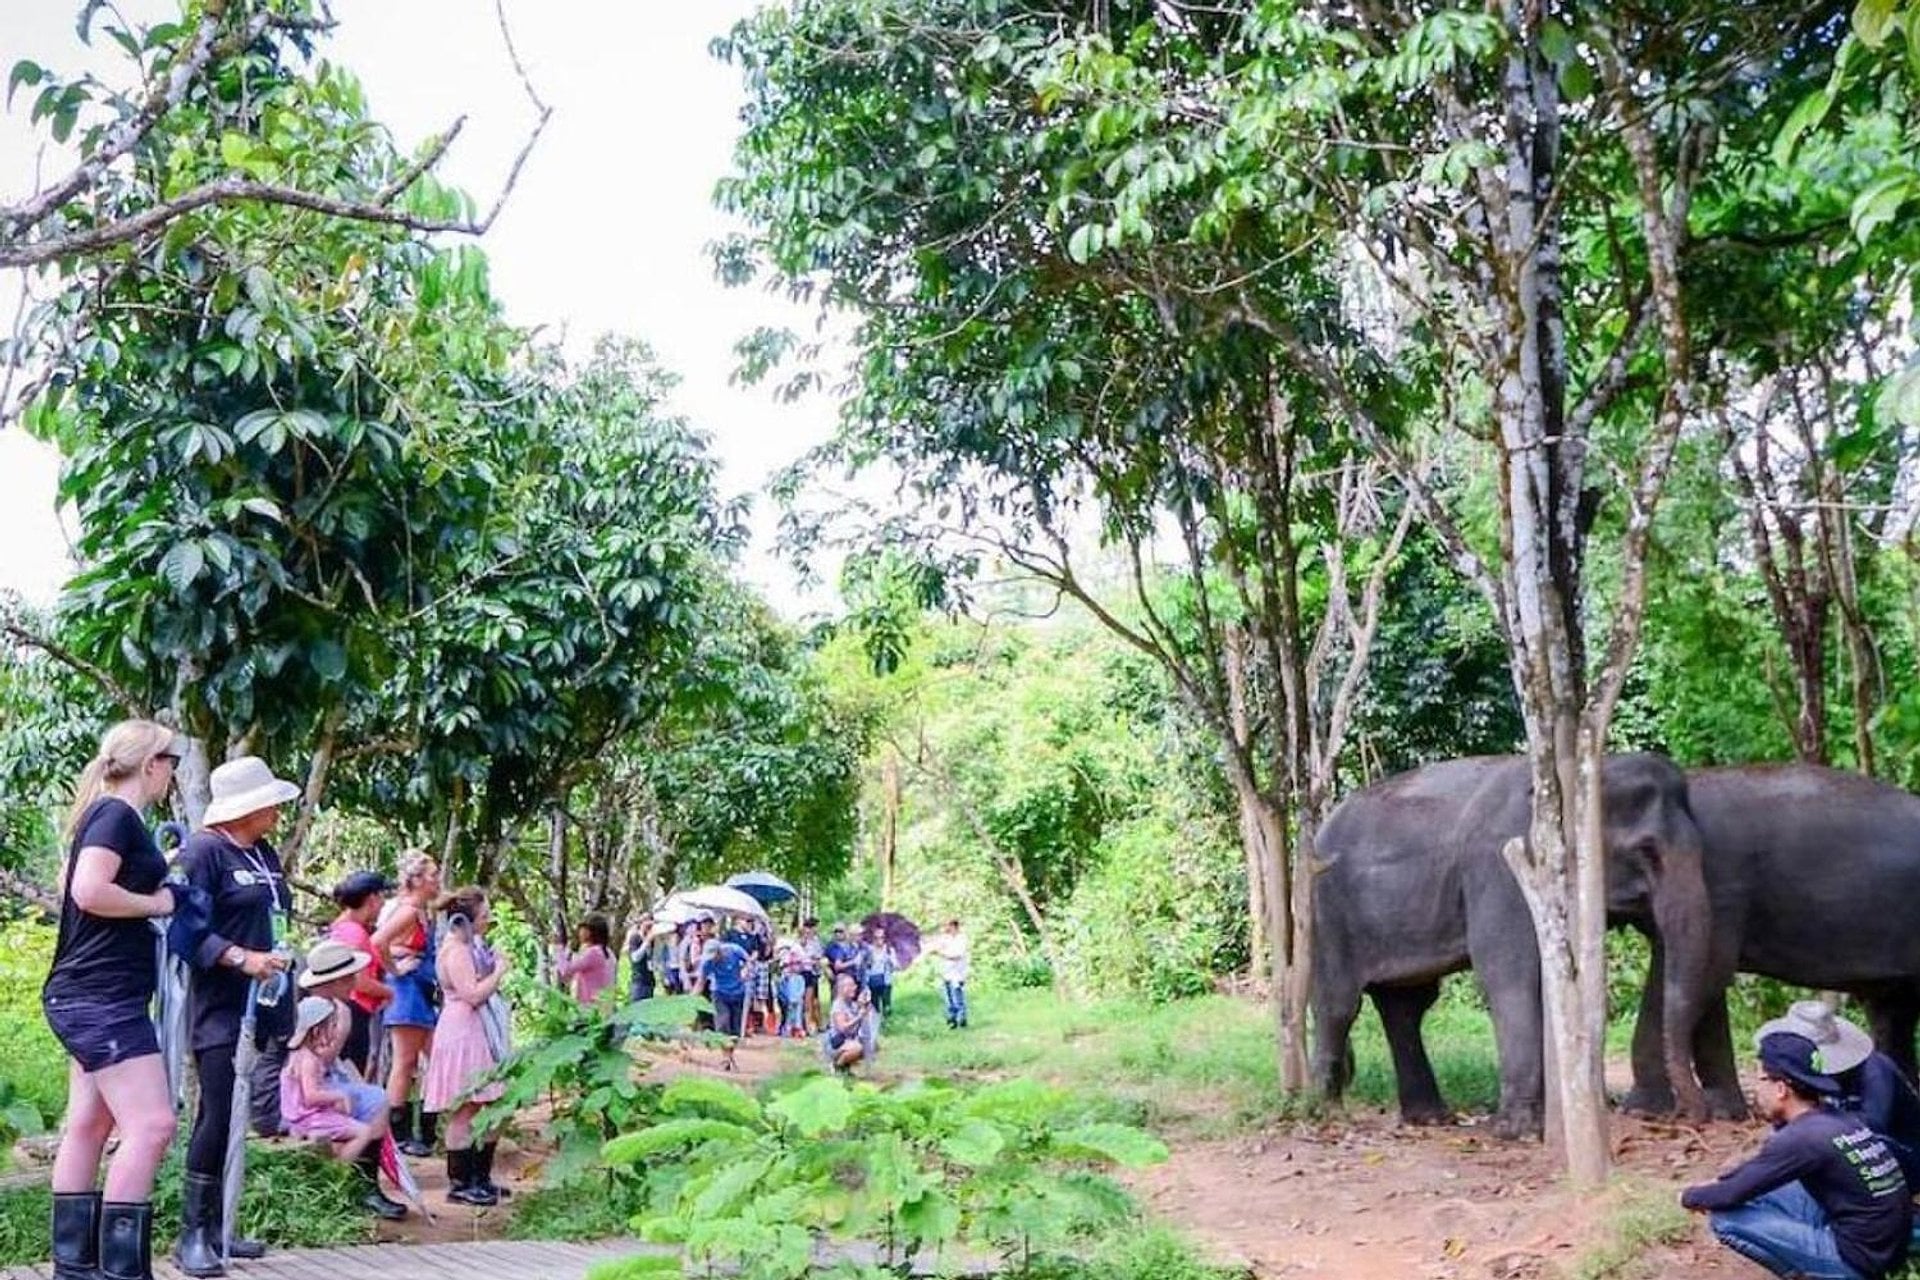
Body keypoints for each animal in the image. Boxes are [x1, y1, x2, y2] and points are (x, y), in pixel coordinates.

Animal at [1311, 752, 1713, 1138]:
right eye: (1646, 851)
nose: (1689, 1120)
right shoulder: (1500, 870)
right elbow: (1508, 975)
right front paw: (1517, 1131)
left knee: (1407, 1005)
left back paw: (1429, 1118)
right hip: (1328, 912)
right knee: (1340, 1005)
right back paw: (1325, 1112)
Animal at [1625, 764, 1920, 1115]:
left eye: (1648, 851)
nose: (1692, 1115)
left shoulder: (1721, 883)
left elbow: (1709, 970)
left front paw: (1645, 1110)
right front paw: (1721, 1111)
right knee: (1893, 1013)